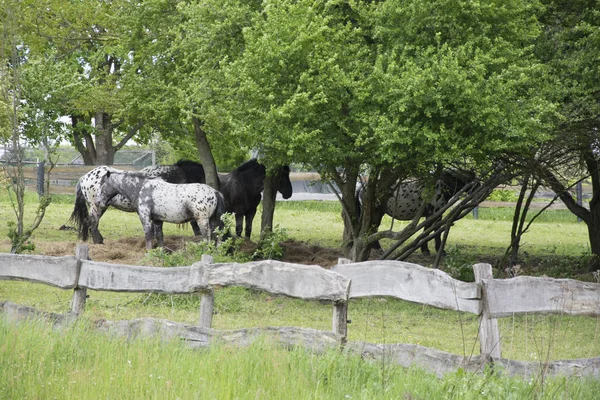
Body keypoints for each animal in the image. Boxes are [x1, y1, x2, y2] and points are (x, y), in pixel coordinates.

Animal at [69, 159, 206, 244]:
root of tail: (84, 177)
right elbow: (194, 224)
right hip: (97, 206)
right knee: (92, 222)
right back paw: (98, 241)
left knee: (90, 222)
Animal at [94, 169, 225, 250]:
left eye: (102, 184)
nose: (97, 202)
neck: (141, 188)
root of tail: (215, 192)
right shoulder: (157, 220)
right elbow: (159, 237)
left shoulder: (145, 218)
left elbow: (148, 235)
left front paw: (148, 253)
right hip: (212, 220)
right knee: (216, 235)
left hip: (202, 220)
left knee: (208, 236)